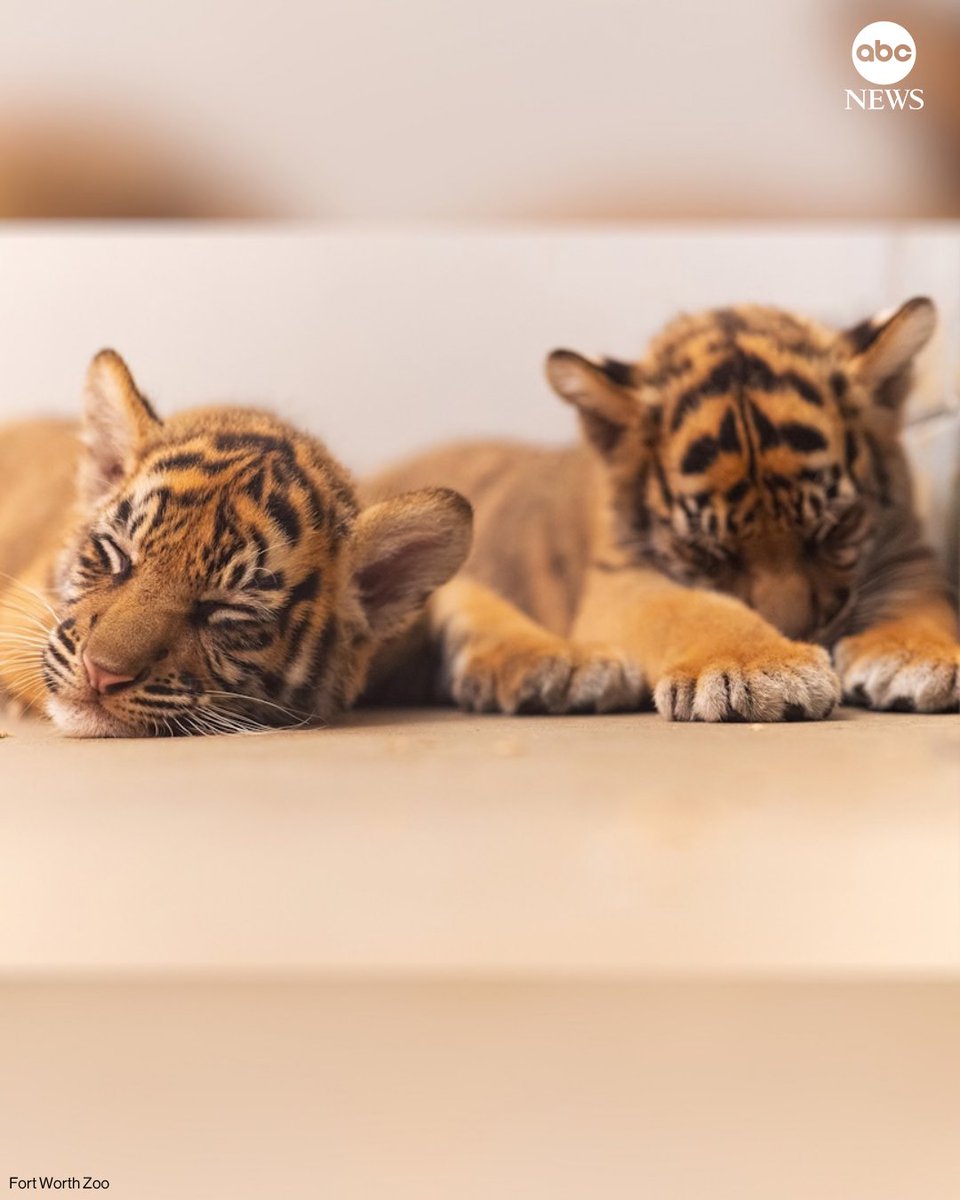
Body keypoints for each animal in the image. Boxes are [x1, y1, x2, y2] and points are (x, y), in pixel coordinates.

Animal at [362, 297, 959, 721]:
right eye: (705, 553)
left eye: (835, 530)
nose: (804, 635)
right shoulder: (621, 579)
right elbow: (691, 609)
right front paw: (763, 669)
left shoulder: (905, 549)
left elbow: (919, 603)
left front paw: (922, 658)